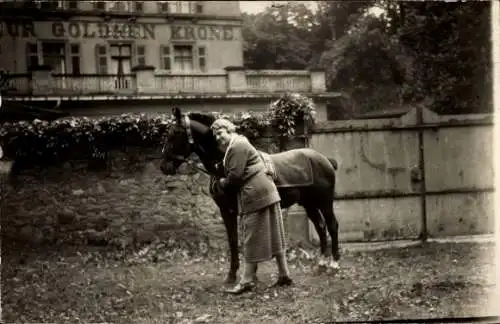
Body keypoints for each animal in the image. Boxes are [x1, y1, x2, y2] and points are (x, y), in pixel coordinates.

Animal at [160, 107, 340, 284]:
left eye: (174, 133)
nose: (164, 166)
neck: (222, 164)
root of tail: (325, 160)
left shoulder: (231, 210)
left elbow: (236, 240)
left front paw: (233, 275)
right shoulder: (227, 210)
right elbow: (235, 239)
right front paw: (245, 274)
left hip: (325, 202)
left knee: (332, 225)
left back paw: (334, 264)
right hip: (309, 203)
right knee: (320, 226)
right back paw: (321, 264)